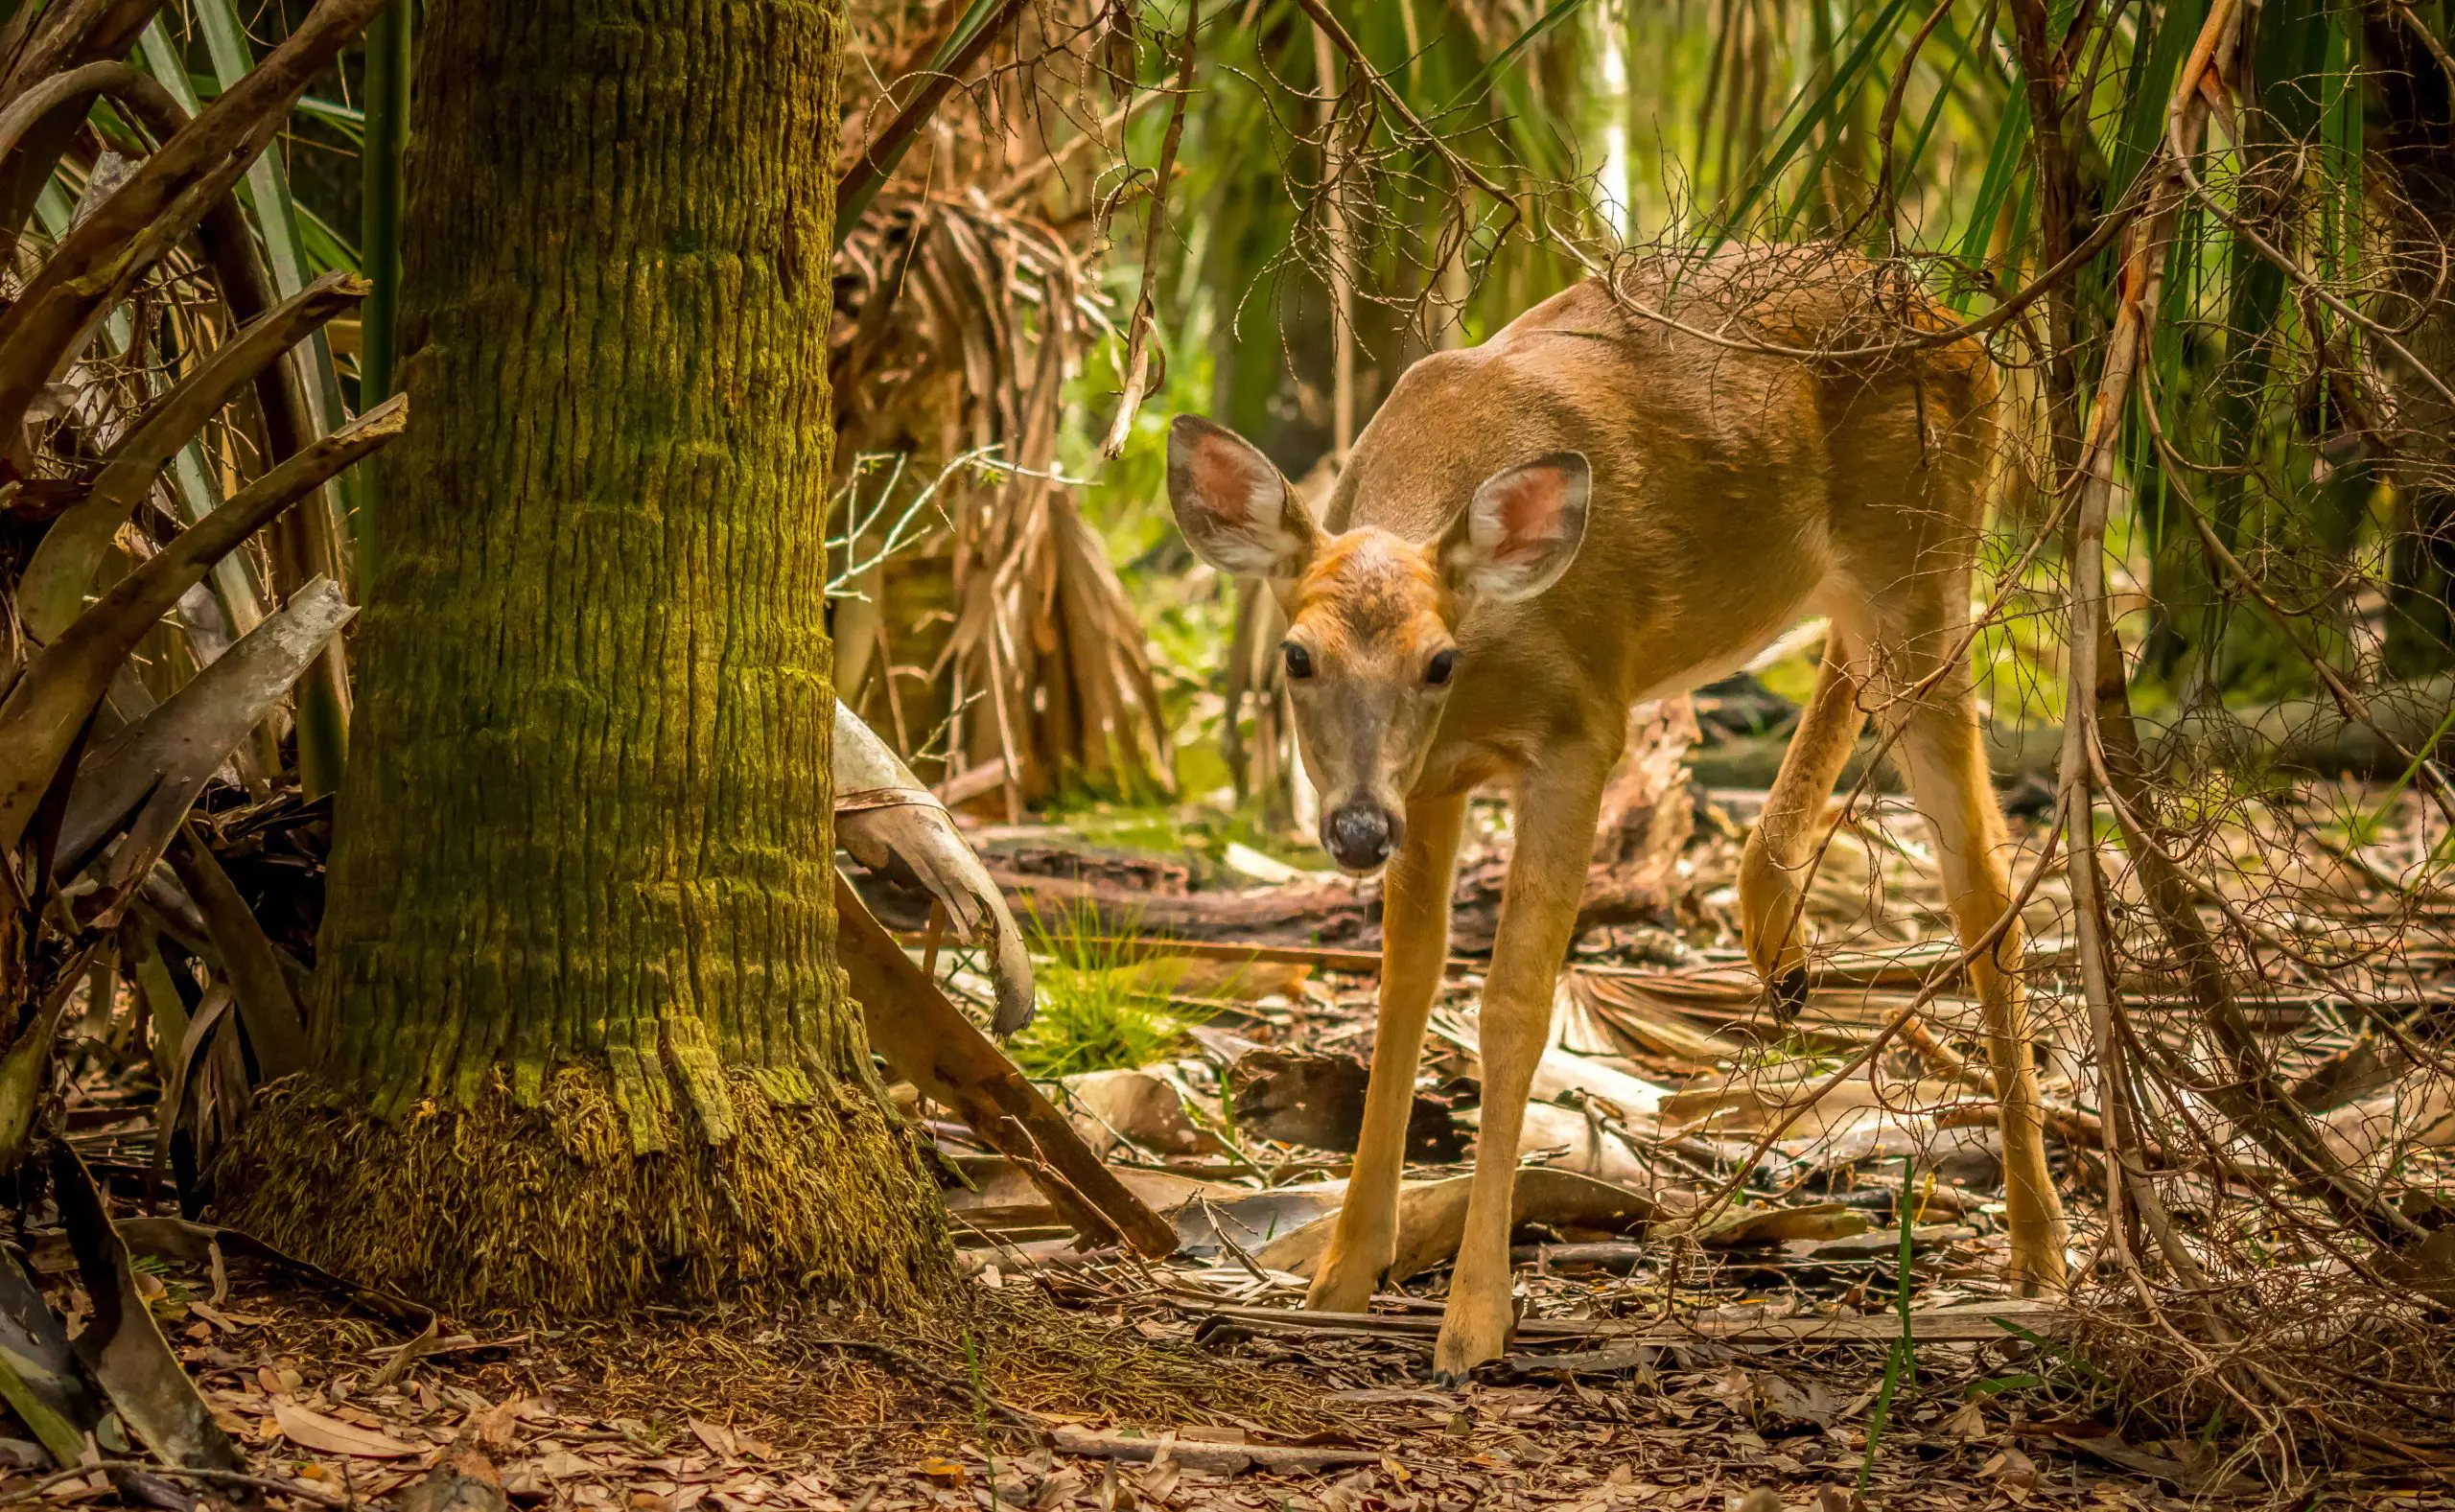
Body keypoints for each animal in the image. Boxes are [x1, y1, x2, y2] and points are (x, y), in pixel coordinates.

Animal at [1166, 249, 2069, 1378]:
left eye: (1437, 662)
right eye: (1296, 656)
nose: (1357, 832)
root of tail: (1953, 322)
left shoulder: (1580, 730)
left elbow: (1513, 1004)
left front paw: (1473, 1318)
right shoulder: (1430, 780)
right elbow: (1403, 991)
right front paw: (1338, 1279)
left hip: (1927, 554)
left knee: (1987, 888)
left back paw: (2042, 1253)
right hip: (1867, 585)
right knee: (1845, 659)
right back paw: (1778, 943)